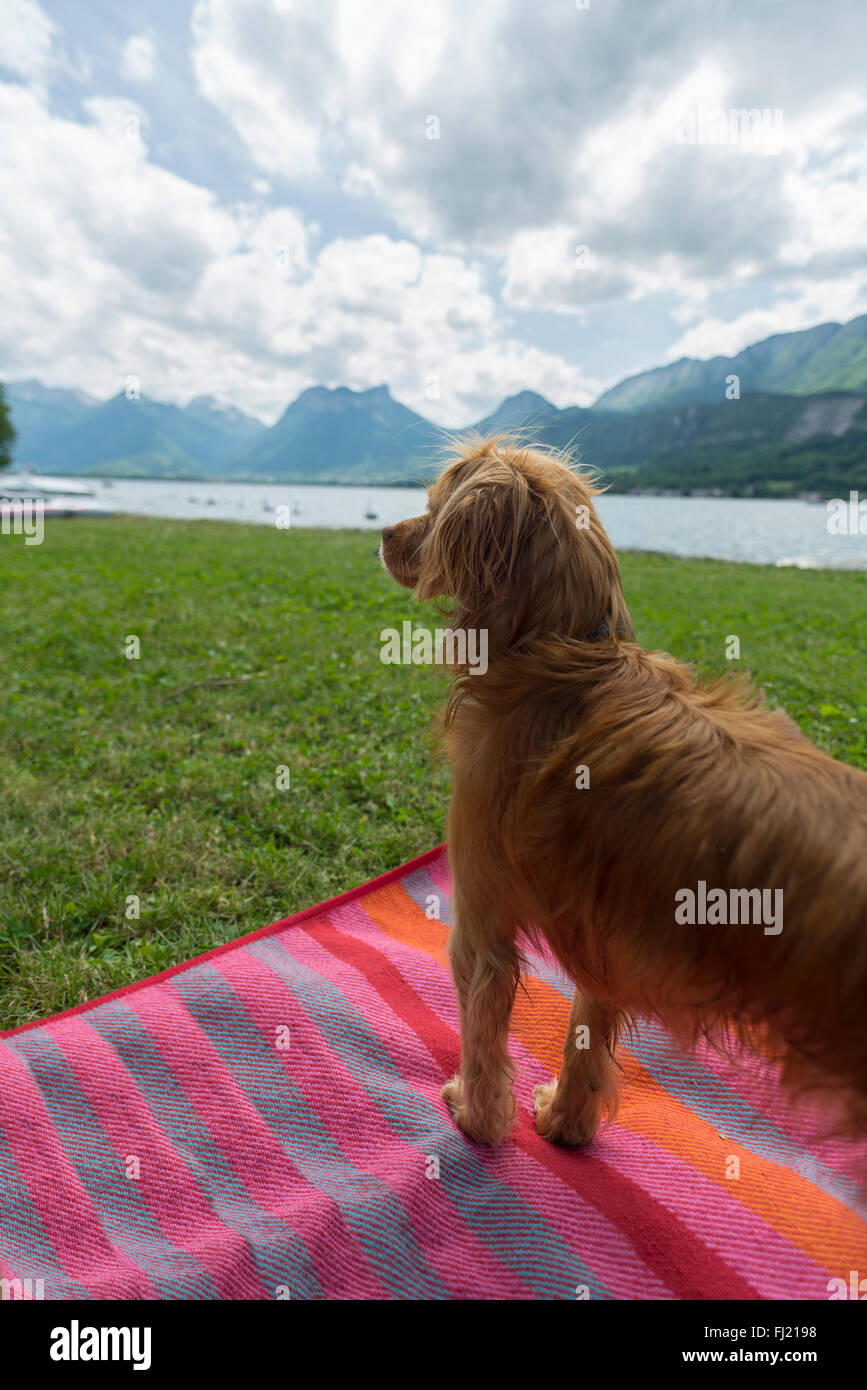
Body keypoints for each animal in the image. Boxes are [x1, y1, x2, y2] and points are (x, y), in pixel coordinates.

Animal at [383, 436, 867, 1150]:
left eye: (434, 508)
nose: (383, 533)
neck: (563, 654)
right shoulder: (603, 935)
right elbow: (586, 1035)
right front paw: (567, 1124)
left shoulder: (479, 917)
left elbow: (481, 1033)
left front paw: (476, 1117)